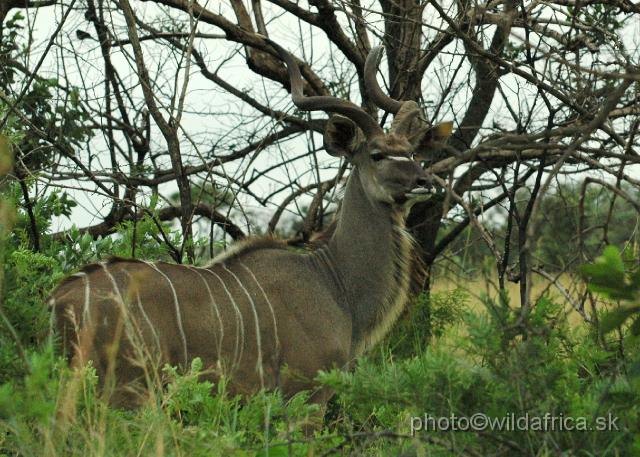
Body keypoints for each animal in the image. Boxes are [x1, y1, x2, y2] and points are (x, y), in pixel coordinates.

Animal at [50, 42, 452, 406]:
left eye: (411, 152)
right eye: (377, 154)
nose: (424, 181)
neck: (332, 280)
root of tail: (59, 298)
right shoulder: (305, 394)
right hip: (126, 390)